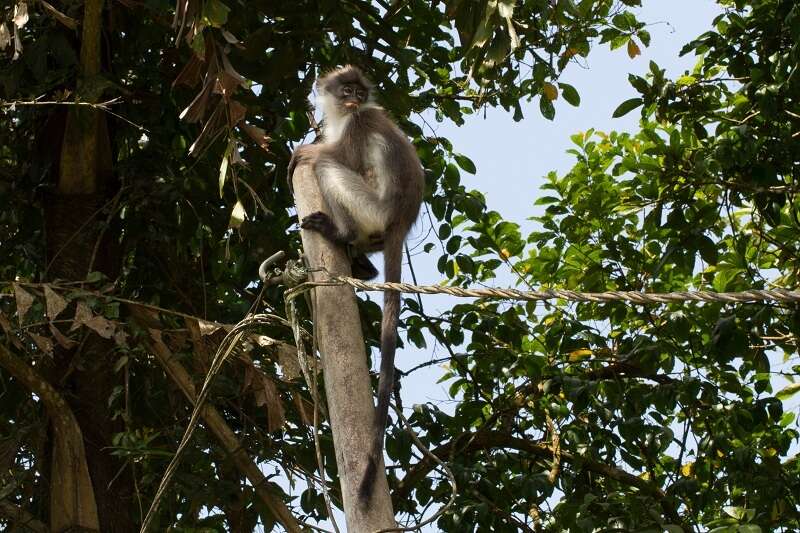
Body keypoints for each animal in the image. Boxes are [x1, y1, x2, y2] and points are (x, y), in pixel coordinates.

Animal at [288, 65, 424, 502]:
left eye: (359, 94)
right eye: (346, 89)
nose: (352, 100)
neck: (345, 116)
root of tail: (401, 221)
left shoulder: (360, 122)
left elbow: (329, 157)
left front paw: (303, 153)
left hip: (372, 208)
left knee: (329, 169)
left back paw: (340, 233)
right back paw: (361, 265)